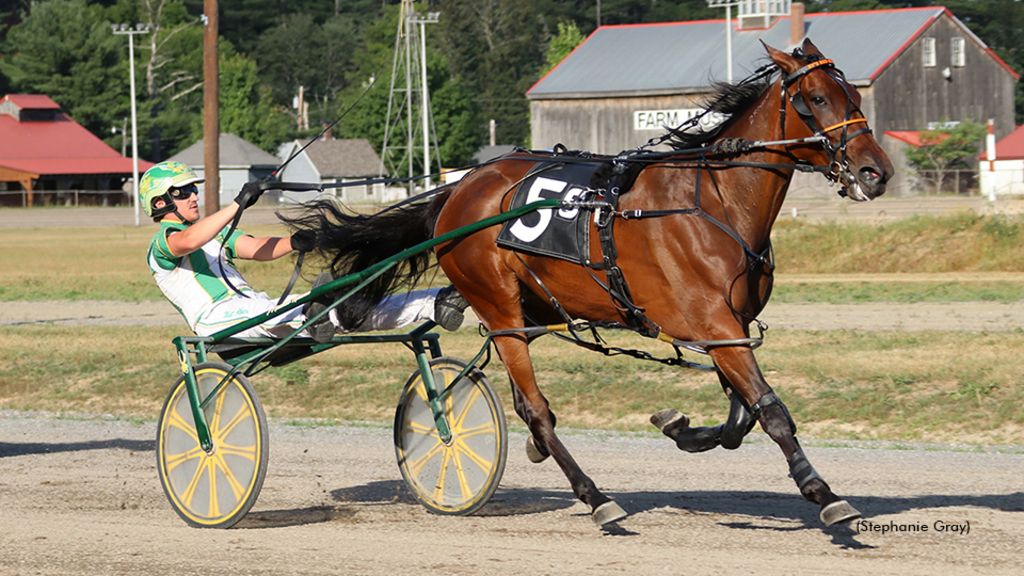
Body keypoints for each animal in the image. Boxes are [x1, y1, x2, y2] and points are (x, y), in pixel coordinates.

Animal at [284, 39, 892, 524]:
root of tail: (460, 189)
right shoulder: (712, 320)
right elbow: (770, 409)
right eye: (816, 99)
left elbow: (741, 417)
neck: (714, 203)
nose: (876, 172)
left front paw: (680, 426)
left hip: (535, 303)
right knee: (534, 406)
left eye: (855, 98)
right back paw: (595, 497)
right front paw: (823, 492)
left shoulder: (728, 327)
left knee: (517, 391)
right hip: (499, 306)